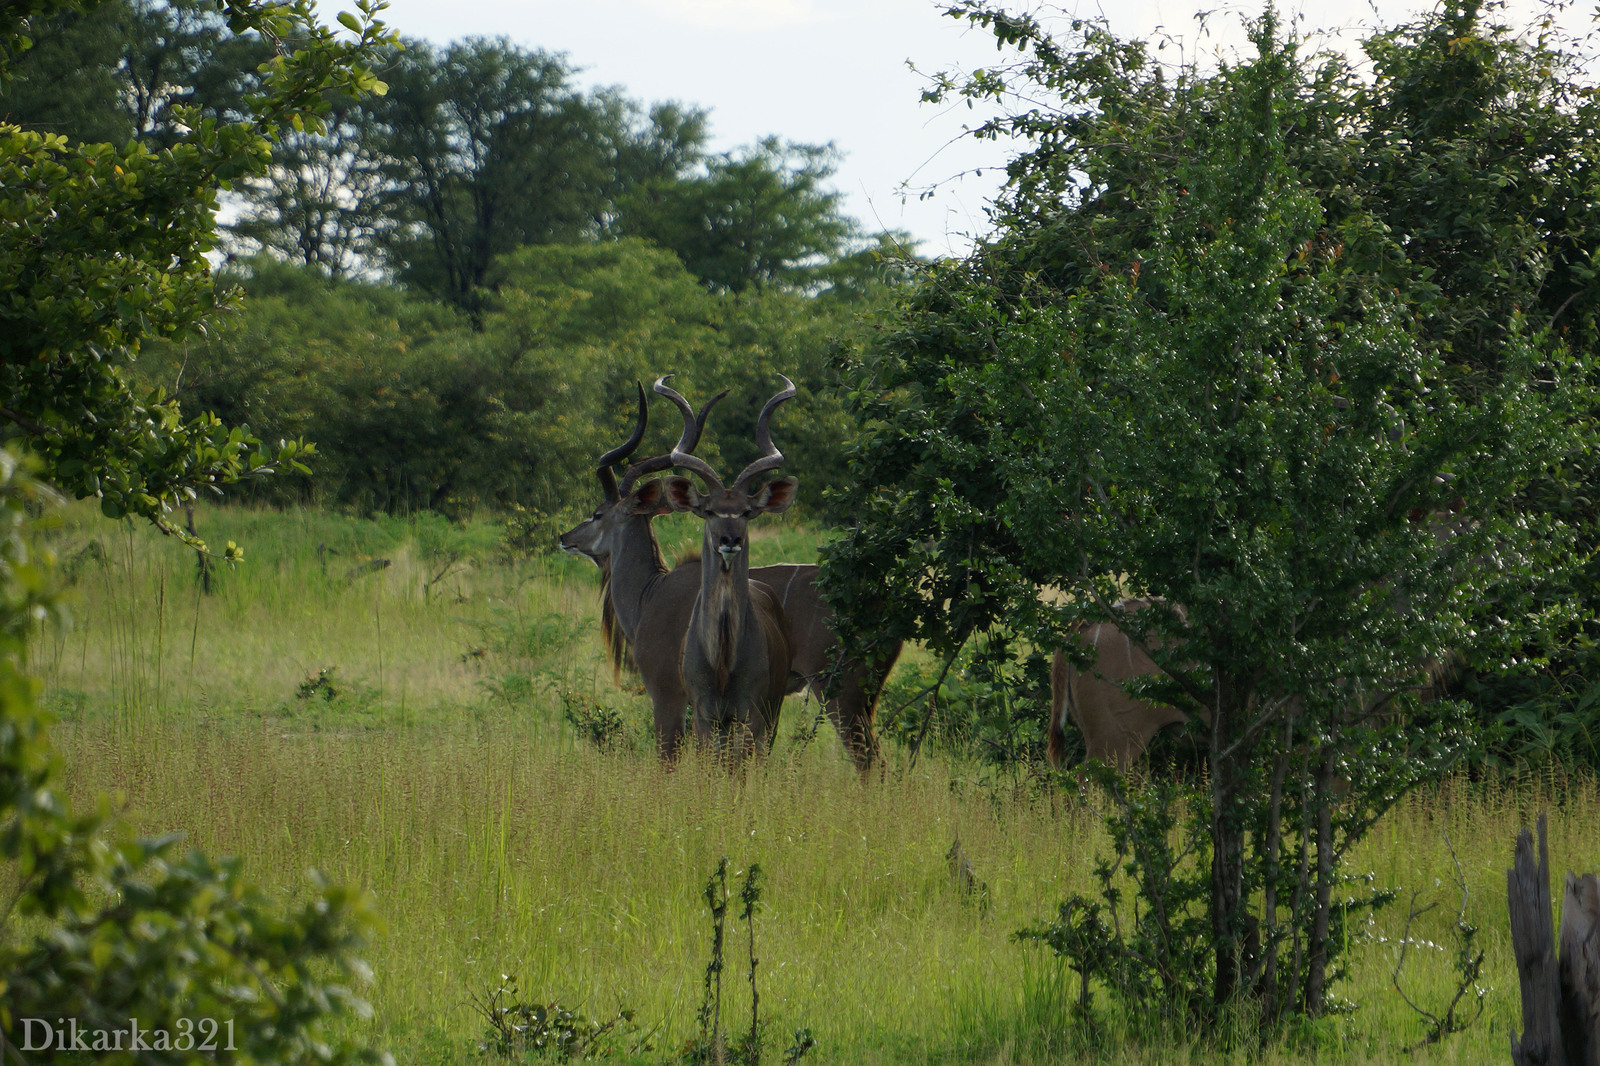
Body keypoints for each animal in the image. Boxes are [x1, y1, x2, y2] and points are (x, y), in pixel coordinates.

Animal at [556, 382, 896, 765]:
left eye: (597, 514)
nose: (565, 537)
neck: (650, 592)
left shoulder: (668, 696)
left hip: (840, 693)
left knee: (871, 761)